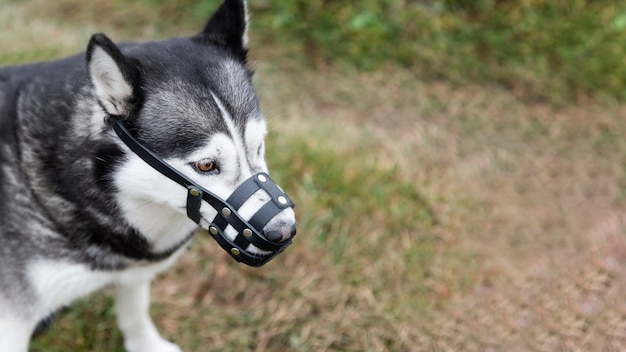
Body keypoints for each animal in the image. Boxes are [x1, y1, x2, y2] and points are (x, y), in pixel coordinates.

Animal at [0, 0, 296, 350]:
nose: (284, 231)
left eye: (259, 145)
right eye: (206, 165)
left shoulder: (134, 274)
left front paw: (145, 343)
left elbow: (135, 309)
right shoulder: (14, 321)